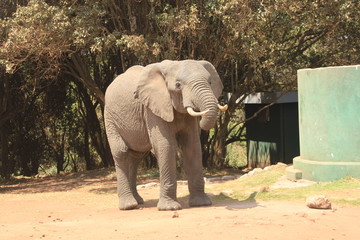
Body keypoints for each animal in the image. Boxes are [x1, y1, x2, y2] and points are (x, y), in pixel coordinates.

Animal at [105, 59, 228, 210]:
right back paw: (129, 206)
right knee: (121, 152)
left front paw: (202, 204)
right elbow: (166, 145)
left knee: (136, 156)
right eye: (178, 85)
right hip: (110, 117)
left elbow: (192, 145)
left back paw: (138, 201)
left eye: (210, 82)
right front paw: (170, 208)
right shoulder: (153, 108)